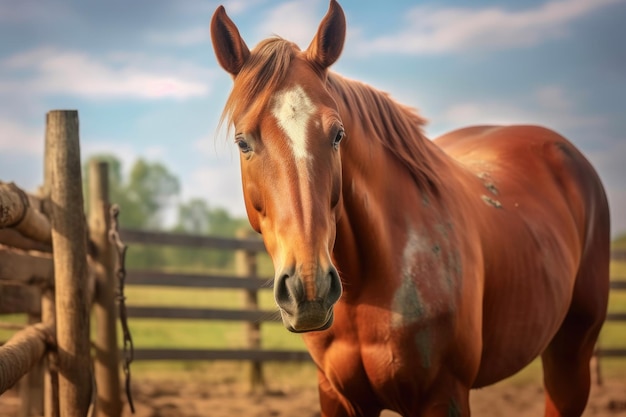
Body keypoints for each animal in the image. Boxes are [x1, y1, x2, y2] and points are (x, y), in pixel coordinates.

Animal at [207, 1, 608, 414]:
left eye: (337, 135)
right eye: (243, 142)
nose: (310, 287)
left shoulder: (444, 395)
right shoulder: (336, 395)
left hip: (571, 355)